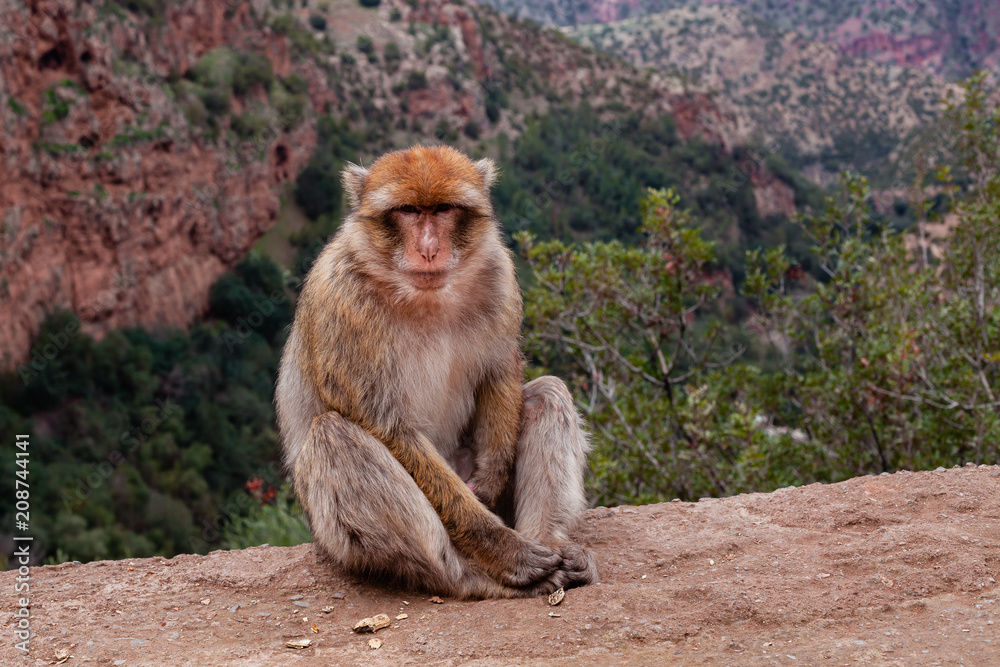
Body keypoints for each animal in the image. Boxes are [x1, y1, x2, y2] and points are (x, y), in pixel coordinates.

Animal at [275, 145, 598, 599]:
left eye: (444, 209)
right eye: (408, 210)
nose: (428, 248)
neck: (421, 295)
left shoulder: (498, 270)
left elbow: (499, 368)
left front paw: (494, 472)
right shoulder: (342, 301)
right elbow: (391, 429)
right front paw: (504, 551)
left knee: (547, 395)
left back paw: (552, 543)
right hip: (336, 541)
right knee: (333, 436)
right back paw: (476, 574)